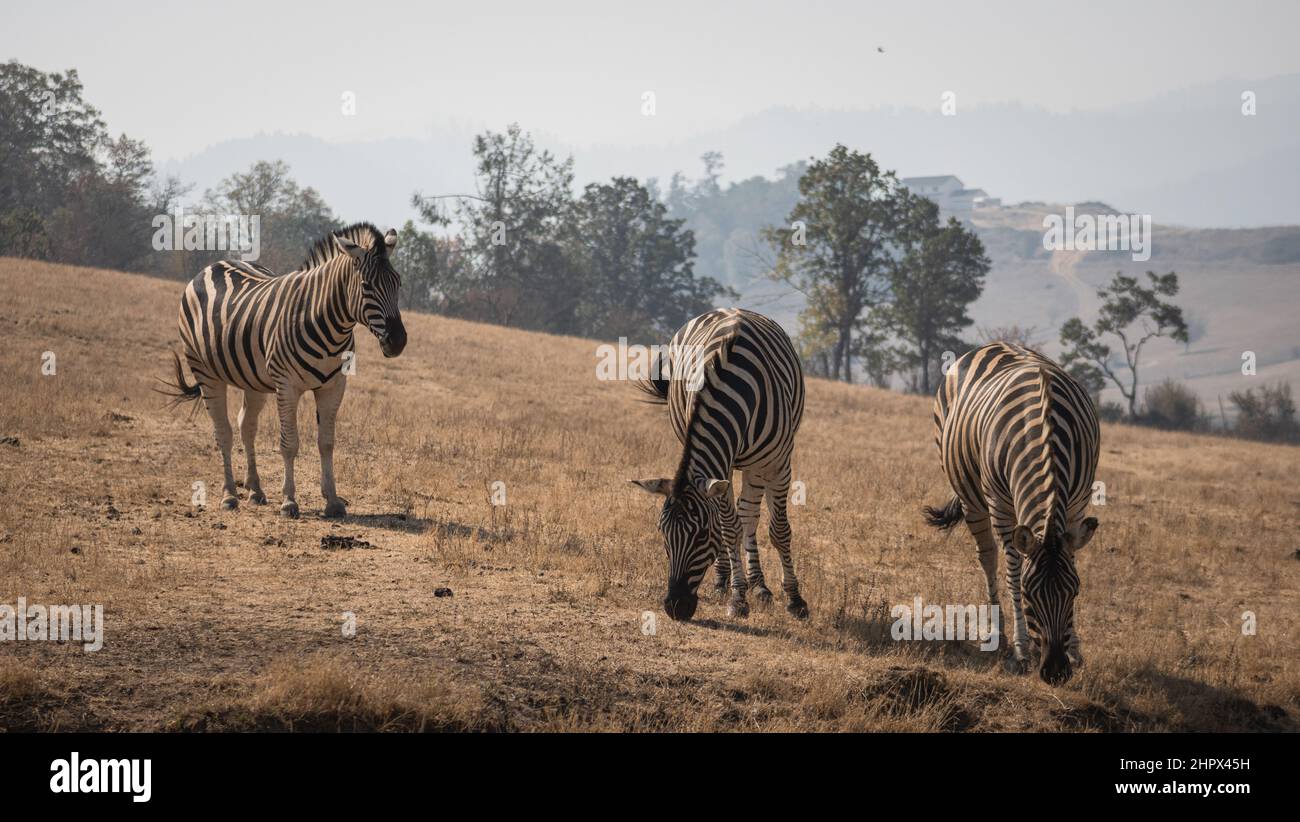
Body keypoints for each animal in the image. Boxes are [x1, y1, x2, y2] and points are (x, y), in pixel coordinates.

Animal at [161, 222, 407, 519]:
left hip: (253, 379)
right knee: (224, 433)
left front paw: (333, 501)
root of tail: (212, 265)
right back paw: (229, 495)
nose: (398, 341)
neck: (327, 322)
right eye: (366, 286)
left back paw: (255, 490)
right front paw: (289, 501)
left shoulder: (334, 386)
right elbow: (289, 444)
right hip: (206, 372)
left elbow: (326, 443)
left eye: (398, 283)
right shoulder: (287, 385)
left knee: (246, 426)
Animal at [630, 308, 808, 622]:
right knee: (739, 516)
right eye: (662, 532)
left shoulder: (777, 462)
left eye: (701, 535)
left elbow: (778, 530)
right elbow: (729, 528)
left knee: (750, 514)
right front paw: (738, 597)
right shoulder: (720, 464)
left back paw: (761, 586)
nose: (674, 607)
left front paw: (795, 599)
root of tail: (730, 309)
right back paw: (726, 581)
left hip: (756, 465)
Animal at [923, 342, 1099, 685]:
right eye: (1030, 595)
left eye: (1075, 591)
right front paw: (1020, 650)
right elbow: (1013, 572)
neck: (1046, 433)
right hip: (971, 497)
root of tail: (994, 344)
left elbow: (1071, 557)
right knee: (988, 557)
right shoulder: (1001, 506)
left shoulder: (1078, 503)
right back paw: (997, 633)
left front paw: (1075, 648)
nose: (1056, 672)